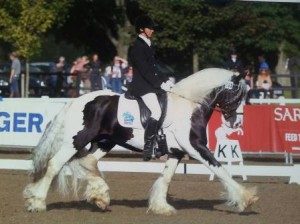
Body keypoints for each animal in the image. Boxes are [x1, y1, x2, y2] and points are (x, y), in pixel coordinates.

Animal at [22, 68, 258, 215]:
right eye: (238, 95)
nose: (236, 123)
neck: (189, 106)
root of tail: (75, 101)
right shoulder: (195, 147)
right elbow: (220, 169)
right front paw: (246, 198)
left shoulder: (177, 152)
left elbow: (166, 178)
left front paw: (161, 206)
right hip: (76, 140)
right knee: (55, 164)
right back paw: (37, 202)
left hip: (105, 142)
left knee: (87, 162)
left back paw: (100, 196)